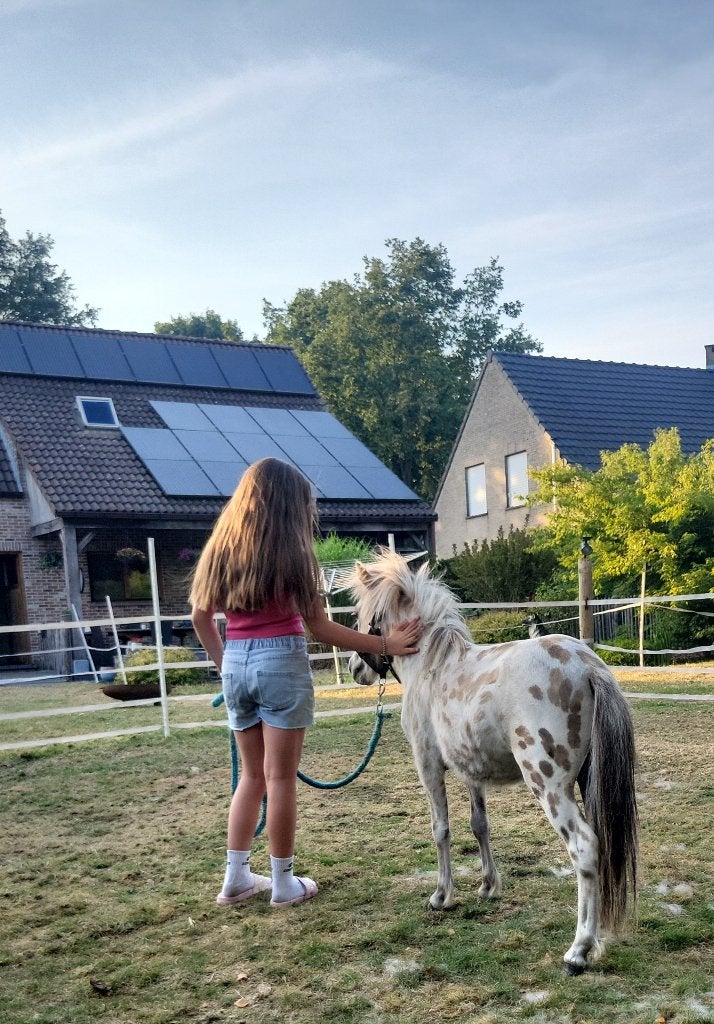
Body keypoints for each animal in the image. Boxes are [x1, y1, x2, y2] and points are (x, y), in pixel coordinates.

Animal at [348, 550, 638, 975]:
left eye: (364, 614)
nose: (357, 668)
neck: (433, 665)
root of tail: (587, 665)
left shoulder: (428, 765)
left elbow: (441, 829)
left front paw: (442, 896)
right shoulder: (472, 771)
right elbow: (479, 826)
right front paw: (488, 886)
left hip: (549, 785)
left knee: (584, 848)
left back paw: (578, 951)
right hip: (589, 782)